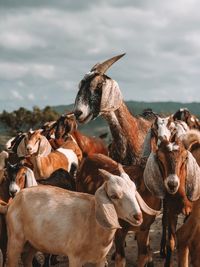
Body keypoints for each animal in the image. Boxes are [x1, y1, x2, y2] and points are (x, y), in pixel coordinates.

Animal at [1, 169, 145, 266]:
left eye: (134, 190)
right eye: (113, 195)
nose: (138, 216)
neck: (92, 220)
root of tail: (13, 202)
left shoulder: (100, 259)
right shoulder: (75, 257)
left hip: (33, 242)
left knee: (26, 258)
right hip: (15, 240)